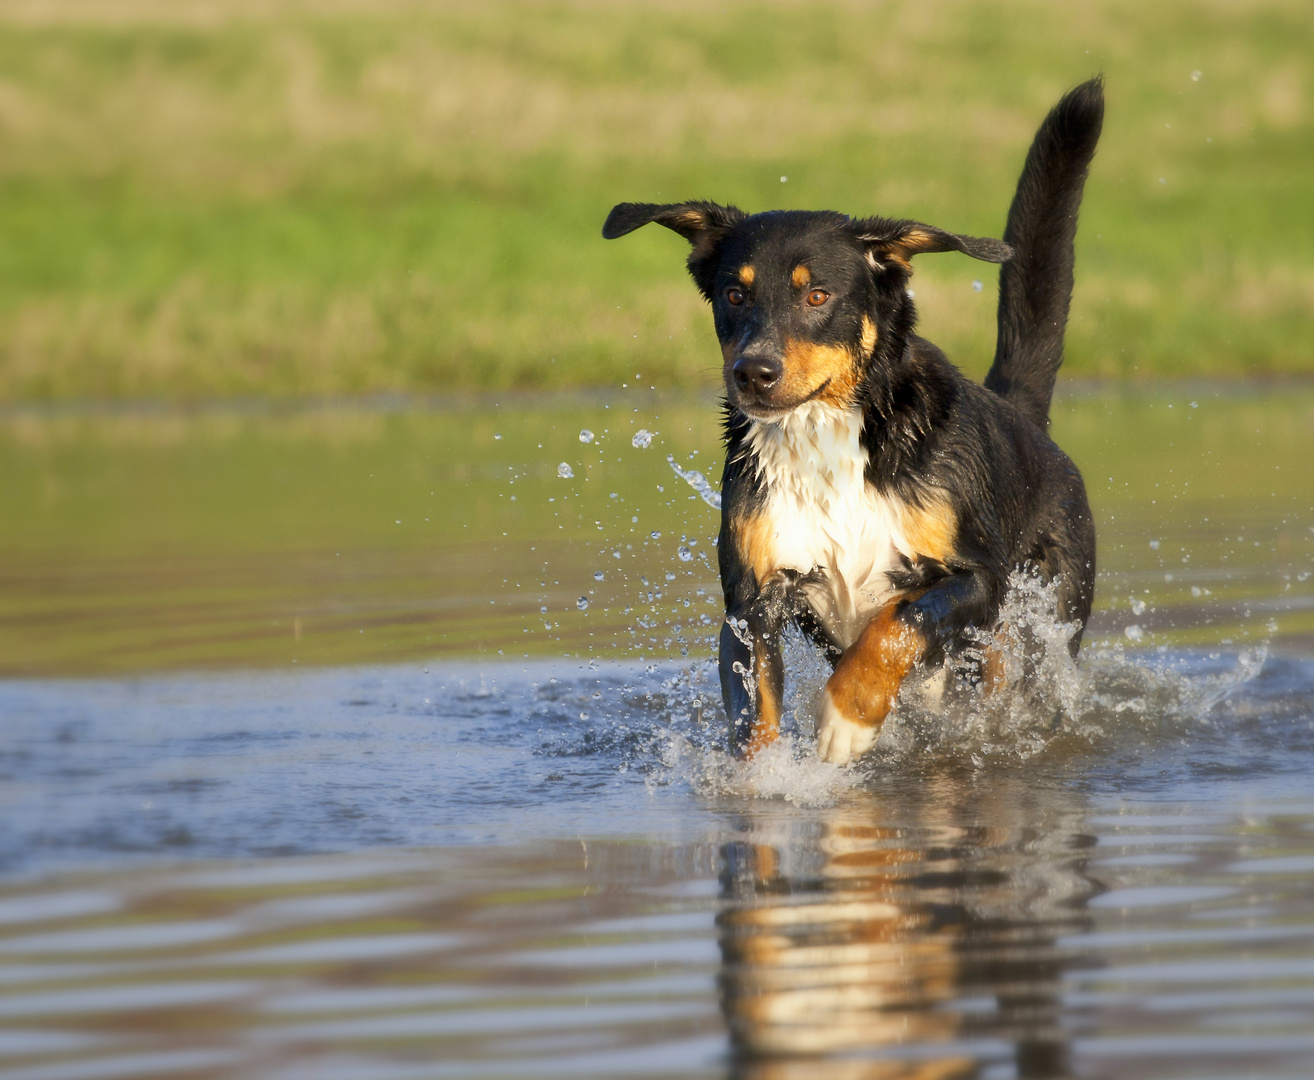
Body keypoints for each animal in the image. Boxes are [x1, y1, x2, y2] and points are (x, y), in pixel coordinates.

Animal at [601, 80, 1103, 767]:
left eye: (817, 296)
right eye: (735, 294)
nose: (752, 371)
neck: (826, 446)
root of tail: (1024, 420)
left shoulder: (977, 579)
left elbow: (898, 624)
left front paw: (845, 716)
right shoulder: (749, 606)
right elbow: (755, 718)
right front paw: (762, 779)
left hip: (1032, 626)